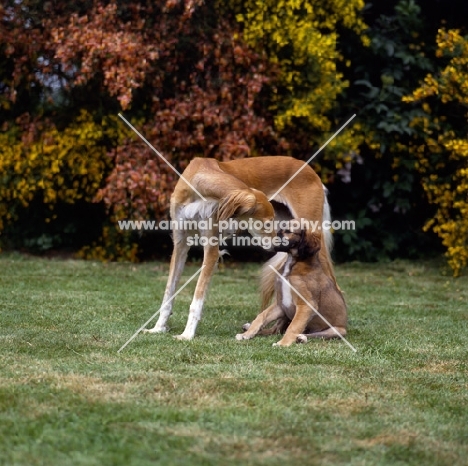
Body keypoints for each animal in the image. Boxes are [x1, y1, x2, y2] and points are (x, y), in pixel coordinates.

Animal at [144, 155, 334, 340]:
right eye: (267, 223)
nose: (276, 245)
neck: (200, 180)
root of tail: (311, 170)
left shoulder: (211, 248)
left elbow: (197, 297)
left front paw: (187, 334)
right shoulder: (180, 242)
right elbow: (169, 292)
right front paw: (158, 328)